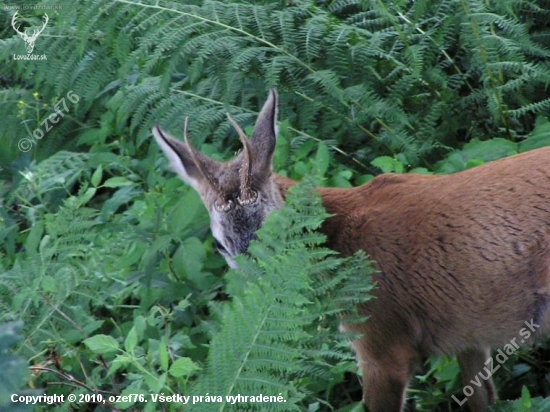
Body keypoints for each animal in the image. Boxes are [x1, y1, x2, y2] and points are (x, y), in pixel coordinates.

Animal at [153, 90, 550, 412]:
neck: (342, 240)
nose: (264, 293)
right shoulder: (470, 335)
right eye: (220, 245)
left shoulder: (381, 338)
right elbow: (482, 397)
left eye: (276, 228)